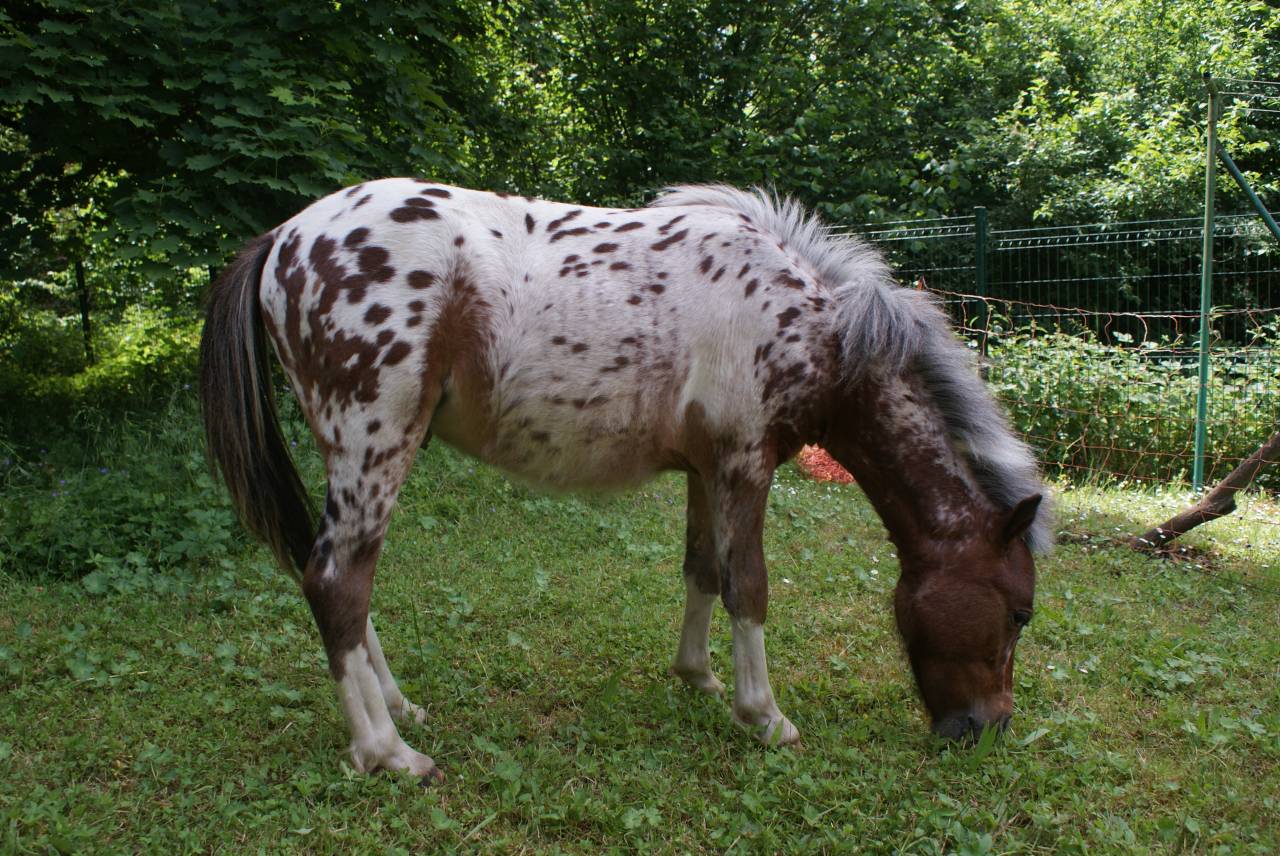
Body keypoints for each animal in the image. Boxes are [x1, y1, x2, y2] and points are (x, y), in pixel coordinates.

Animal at [200, 181, 1050, 783]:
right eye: (1019, 613)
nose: (986, 729)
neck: (816, 326)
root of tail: (284, 238)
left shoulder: (708, 469)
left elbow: (702, 570)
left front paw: (699, 678)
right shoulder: (745, 463)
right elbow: (750, 587)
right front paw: (765, 717)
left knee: (344, 580)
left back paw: (401, 708)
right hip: (375, 444)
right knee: (336, 581)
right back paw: (387, 752)